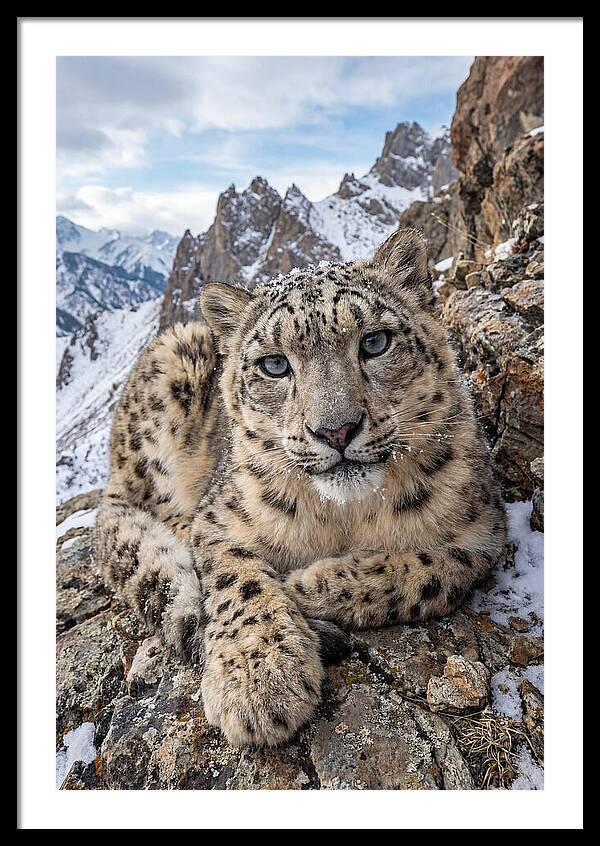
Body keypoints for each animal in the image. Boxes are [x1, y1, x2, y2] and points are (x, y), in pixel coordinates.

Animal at [95, 227, 506, 747]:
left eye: (375, 342)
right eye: (274, 364)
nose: (336, 430)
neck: (345, 516)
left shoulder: (483, 532)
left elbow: (429, 572)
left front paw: (306, 585)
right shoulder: (219, 520)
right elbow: (238, 580)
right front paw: (259, 680)